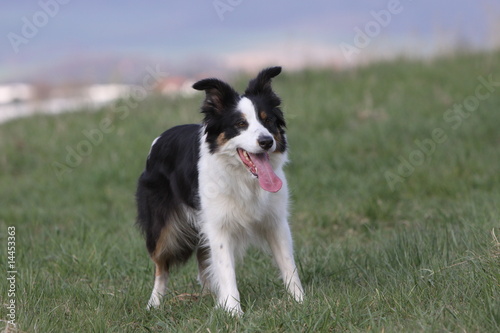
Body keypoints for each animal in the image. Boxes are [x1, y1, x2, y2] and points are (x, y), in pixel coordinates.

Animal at [135, 65, 302, 314]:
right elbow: (225, 268)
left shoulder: (275, 220)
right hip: (164, 230)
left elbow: (288, 263)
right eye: (241, 124)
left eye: (268, 120)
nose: (266, 141)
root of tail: (158, 139)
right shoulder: (218, 224)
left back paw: (208, 297)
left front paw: (301, 302)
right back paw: (153, 304)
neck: (244, 179)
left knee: (203, 260)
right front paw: (233, 312)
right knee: (161, 267)